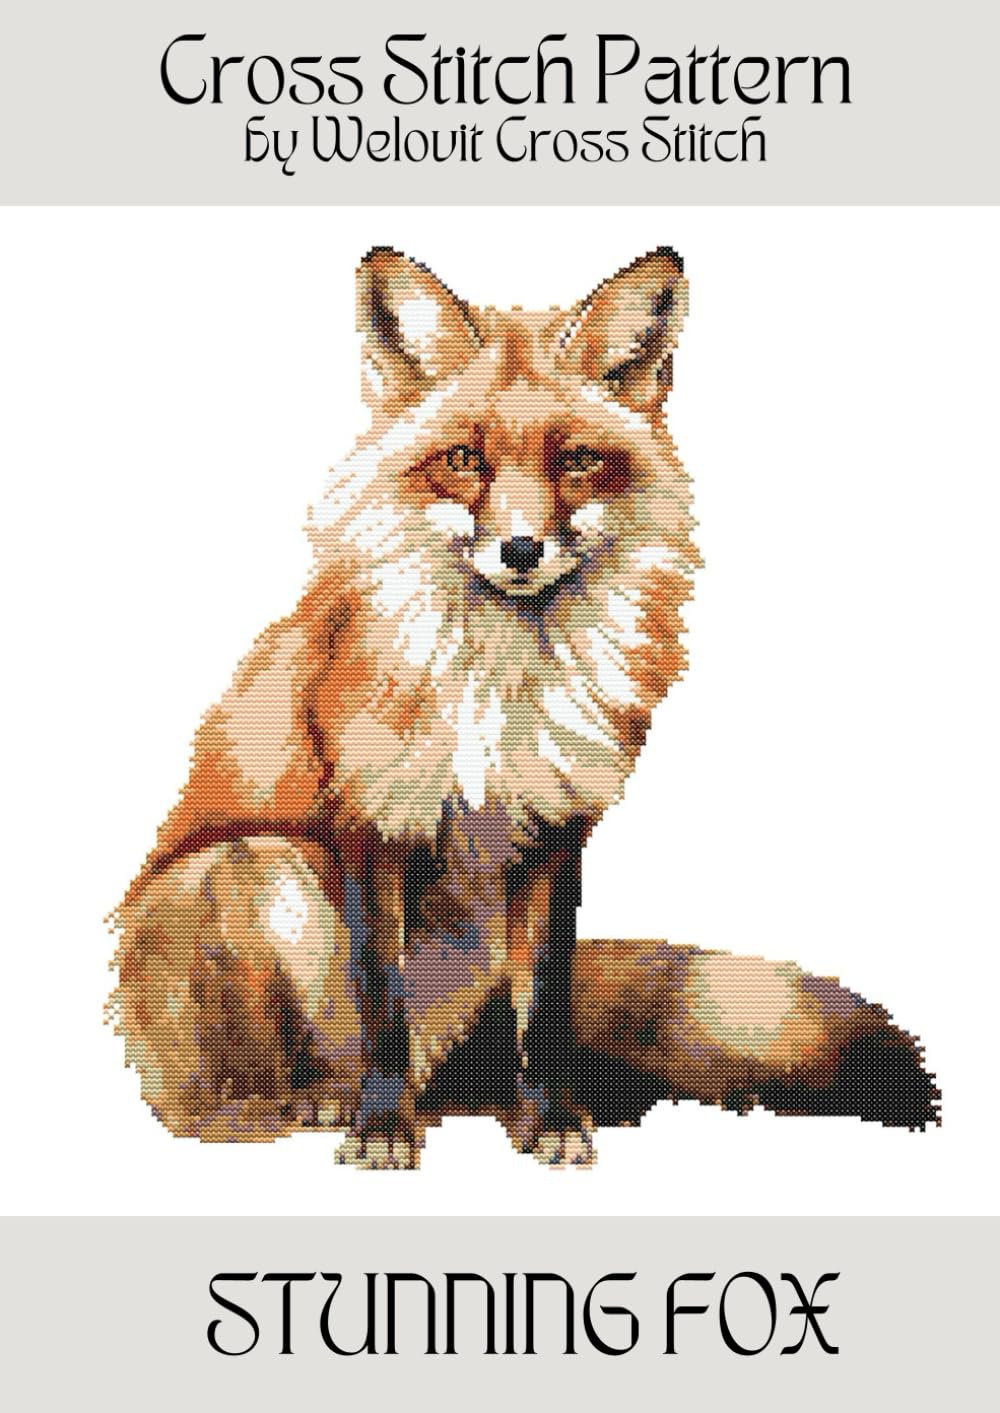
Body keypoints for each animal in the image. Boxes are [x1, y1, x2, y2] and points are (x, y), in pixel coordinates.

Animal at [109, 246, 939, 1168]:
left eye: (575, 461)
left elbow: (544, 1005)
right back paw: (305, 1105)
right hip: (250, 866)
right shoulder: (371, 820)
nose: (519, 549)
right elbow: (382, 1000)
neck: (500, 686)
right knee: (207, 1105)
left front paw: (549, 1119)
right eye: (463, 459)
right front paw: (383, 1129)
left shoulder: (557, 826)